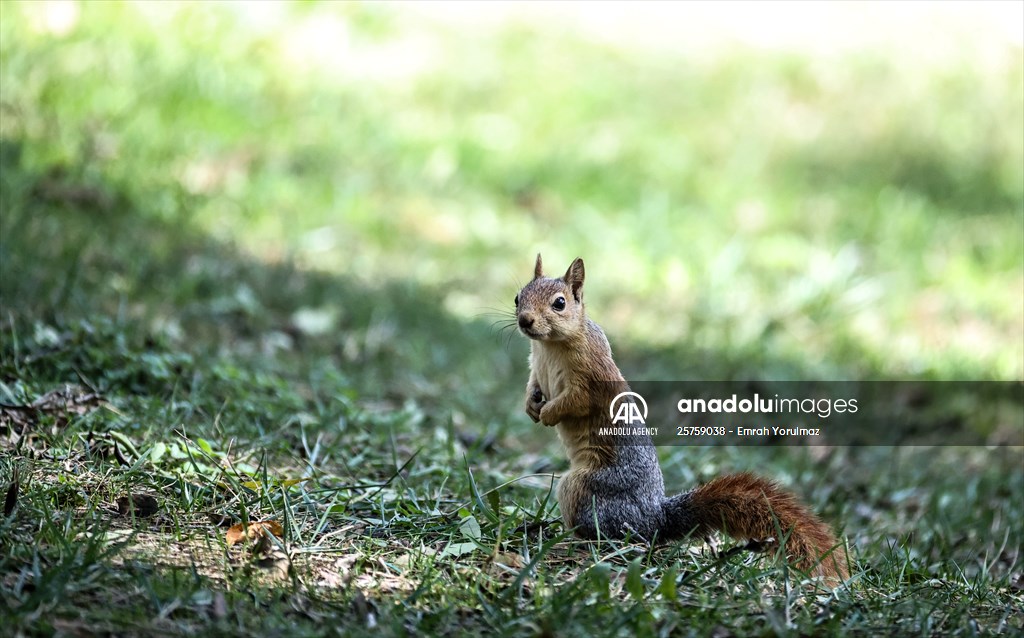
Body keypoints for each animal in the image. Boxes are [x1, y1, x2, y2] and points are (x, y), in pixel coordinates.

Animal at [515, 254, 848, 581]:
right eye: (518, 297)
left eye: (560, 303)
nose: (524, 320)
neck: (550, 345)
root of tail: (654, 519)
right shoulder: (535, 365)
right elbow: (533, 382)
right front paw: (531, 405)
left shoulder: (592, 376)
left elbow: (578, 400)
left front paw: (549, 412)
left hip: (584, 488)